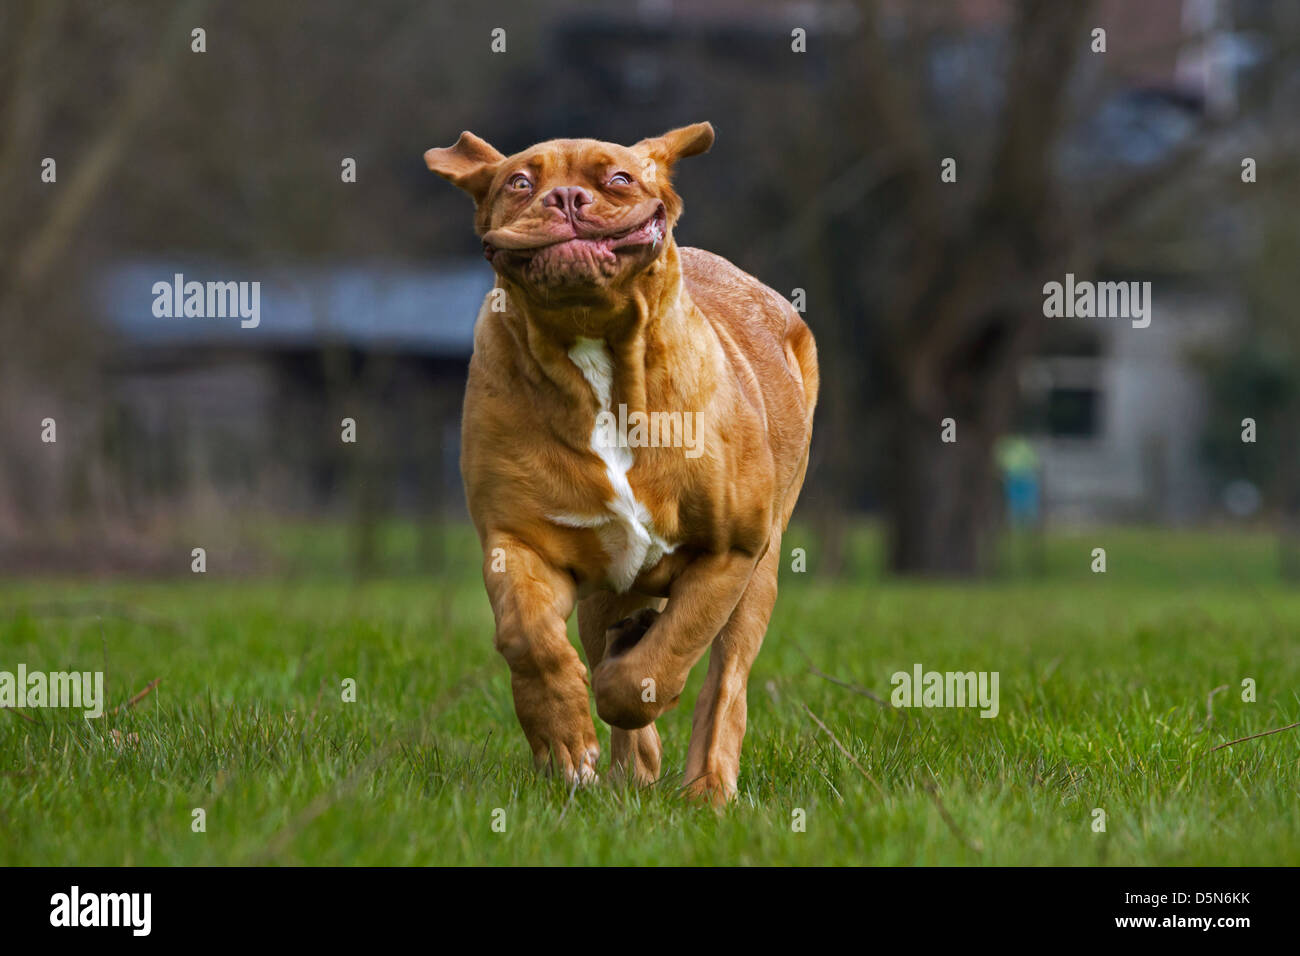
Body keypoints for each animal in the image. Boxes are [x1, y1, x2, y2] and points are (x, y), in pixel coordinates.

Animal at [423, 121, 811, 806]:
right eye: (519, 183)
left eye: (620, 178)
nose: (566, 198)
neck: (597, 352)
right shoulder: (518, 539)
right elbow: (529, 638)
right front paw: (565, 742)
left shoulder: (729, 552)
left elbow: (659, 662)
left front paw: (626, 685)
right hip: (605, 584)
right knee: (607, 636)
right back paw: (633, 762)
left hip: (760, 574)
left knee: (726, 678)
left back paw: (707, 788)